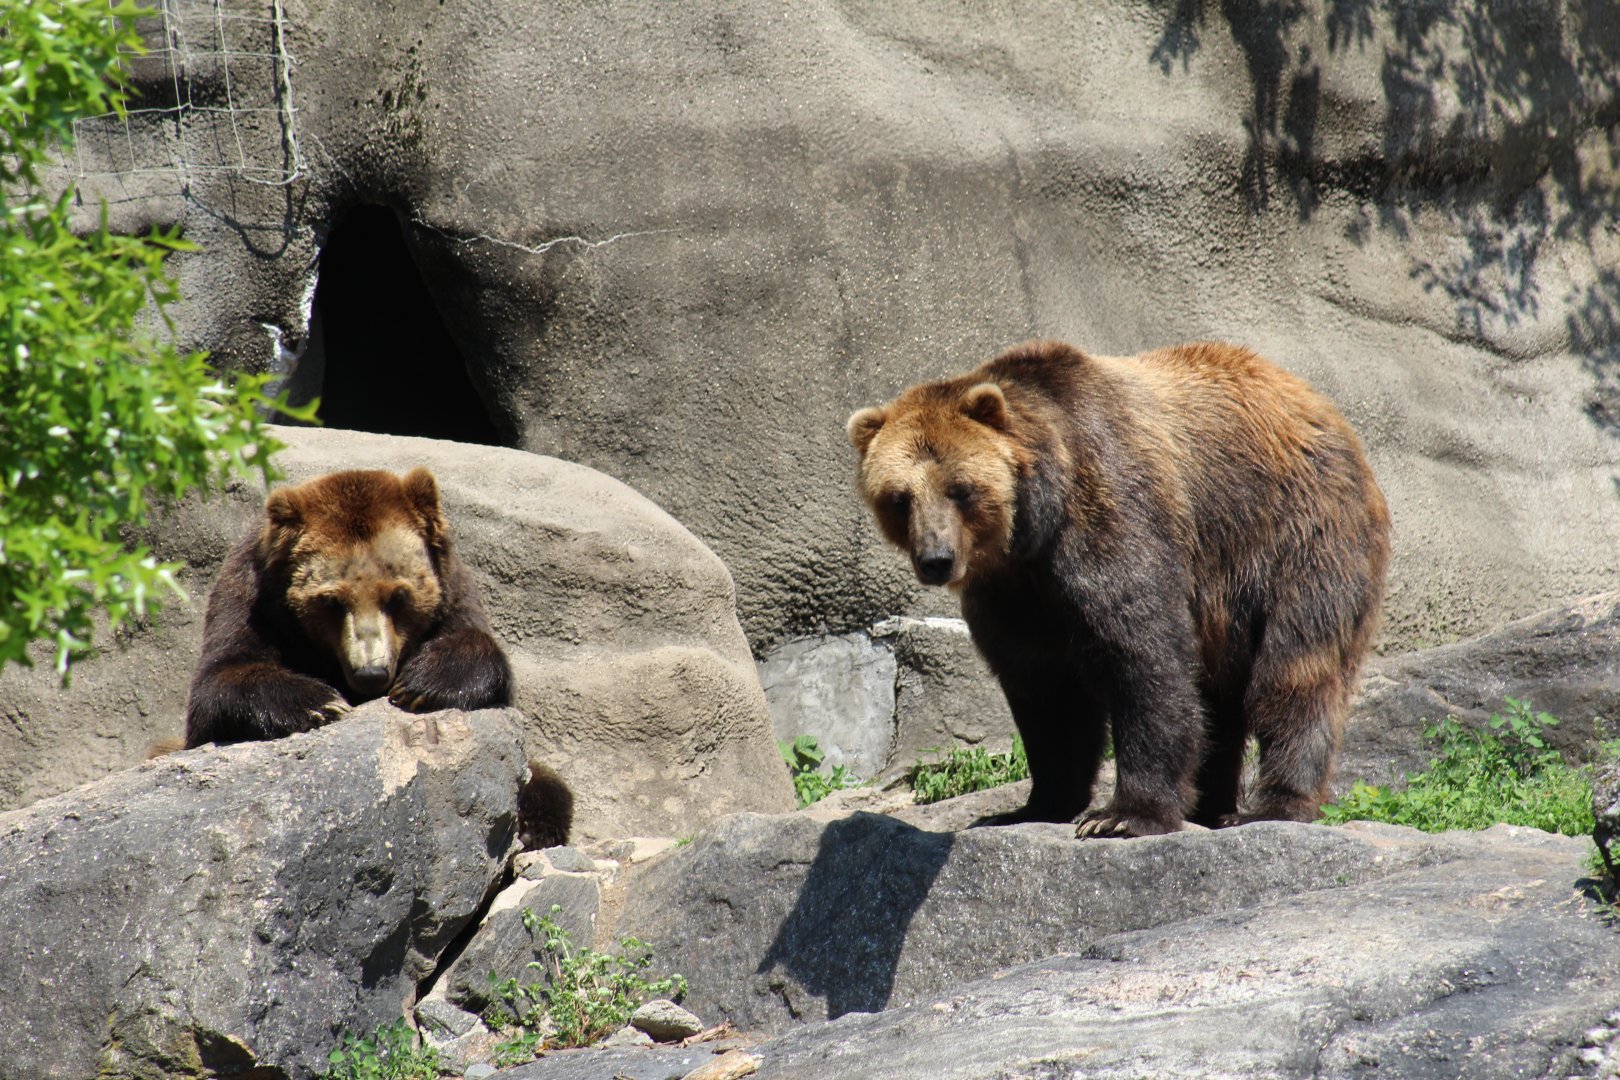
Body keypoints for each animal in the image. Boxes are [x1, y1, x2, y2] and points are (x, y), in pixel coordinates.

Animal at [181, 467, 570, 848]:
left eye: (397, 595)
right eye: (332, 600)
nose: (371, 673)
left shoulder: (453, 597)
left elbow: (478, 653)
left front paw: (421, 684)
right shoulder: (251, 599)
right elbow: (220, 680)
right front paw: (321, 703)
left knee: (546, 782)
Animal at [847, 340, 1390, 839]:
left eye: (960, 488)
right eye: (899, 498)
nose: (936, 559)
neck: (1034, 531)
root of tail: (1324, 408)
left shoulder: (1109, 512)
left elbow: (1141, 650)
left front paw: (1122, 815)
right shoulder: (1013, 591)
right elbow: (1045, 689)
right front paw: (1032, 805)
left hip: (1295, 534)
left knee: (1297, 666)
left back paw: (1271, 804)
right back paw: (1207, 805)